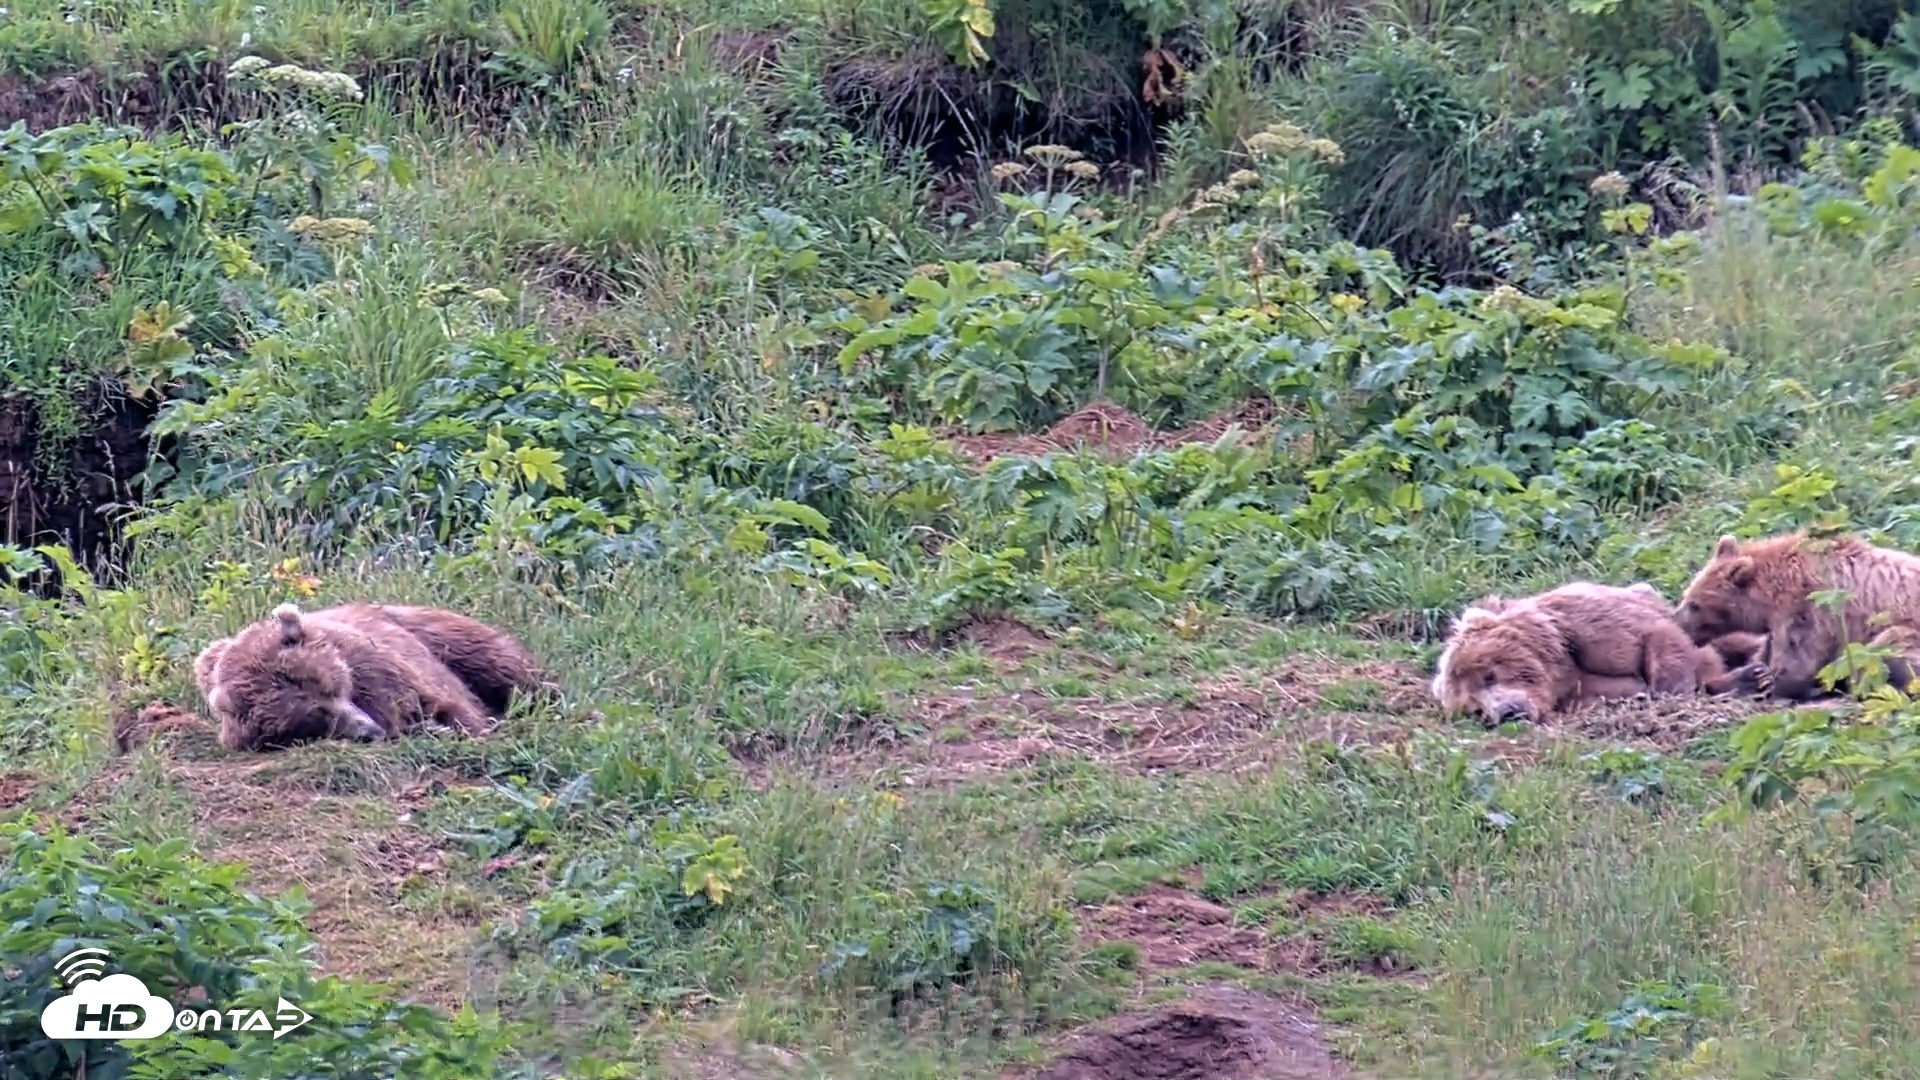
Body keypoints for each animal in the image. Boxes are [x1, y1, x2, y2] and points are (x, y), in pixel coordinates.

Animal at [195, 602, 500, 752]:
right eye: (313, 718)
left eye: (331, 690)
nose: (369, 732)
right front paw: (428, 729)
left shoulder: (380, 670)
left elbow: (447, 705)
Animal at [1431, 580, 1768, 725]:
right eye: (1475, 708)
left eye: (1489, 675)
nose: (1508, 713)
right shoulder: (1580, 694)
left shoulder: (1589, 627)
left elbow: (1661, 642)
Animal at [1674, 531, 1920, 701]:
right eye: (1687, 595)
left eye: (1695, 605)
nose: (1677, 621)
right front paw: (1754, 674)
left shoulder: (1810, 606)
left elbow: (1798, 657)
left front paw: (1768, 682)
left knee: (1886, 649)